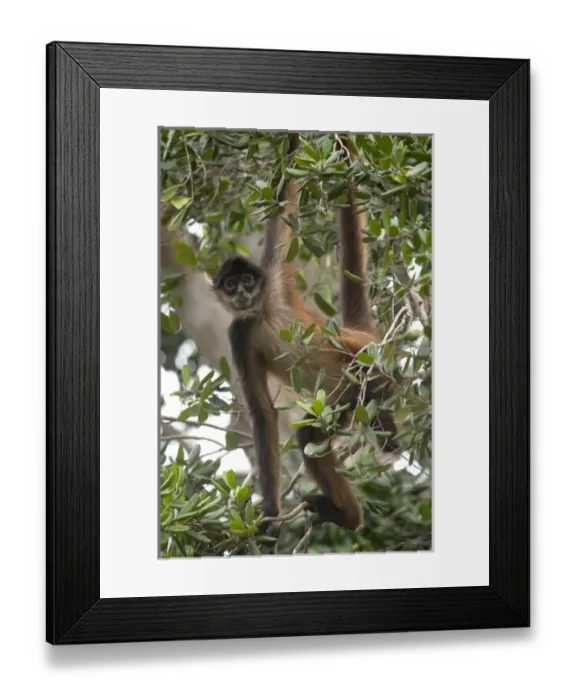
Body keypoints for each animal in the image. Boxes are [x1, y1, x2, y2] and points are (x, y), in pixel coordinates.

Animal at [211, 133, 398, 535]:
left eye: (247, 281)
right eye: (231, 286)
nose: (242, 293)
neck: (261, 311)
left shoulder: (273, 276)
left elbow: (284, 192)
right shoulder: (238, 332)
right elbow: (263, 413)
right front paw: (269, 512)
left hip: (359, 359)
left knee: (355, 358)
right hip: (339, 403)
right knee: (309, 437)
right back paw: (348, 517)